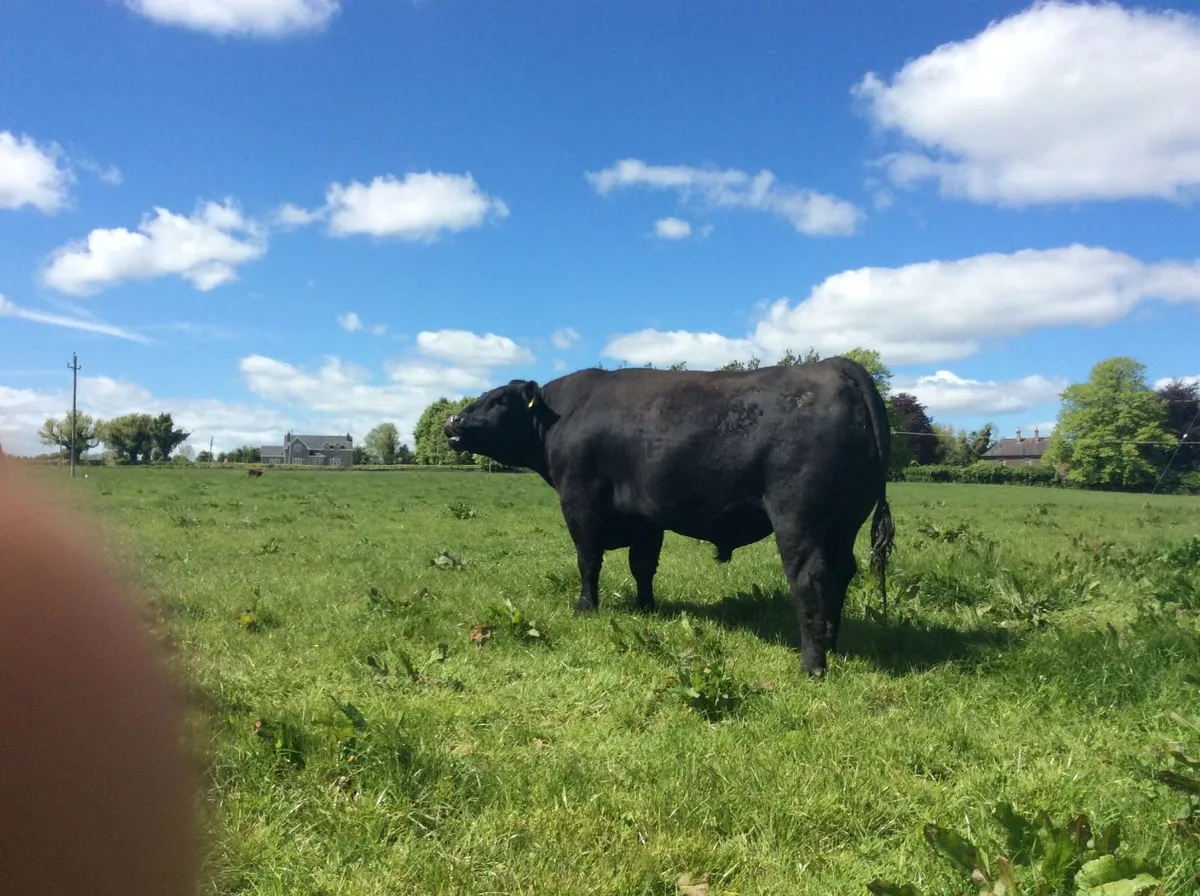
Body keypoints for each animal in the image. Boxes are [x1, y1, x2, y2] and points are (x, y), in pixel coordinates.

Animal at [443, 357, 896, 677]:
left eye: (497, 400)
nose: (452, 422)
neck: (564, 415)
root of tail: (834, 364)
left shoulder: (580, 501)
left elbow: (588, 560)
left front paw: (585, 607)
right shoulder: (645, 516)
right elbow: (642, 564)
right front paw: (646, 607)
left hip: (799, 519)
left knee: (810, 578)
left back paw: (812, 664)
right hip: (843, 522)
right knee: (841, 573)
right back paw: (832, 644)